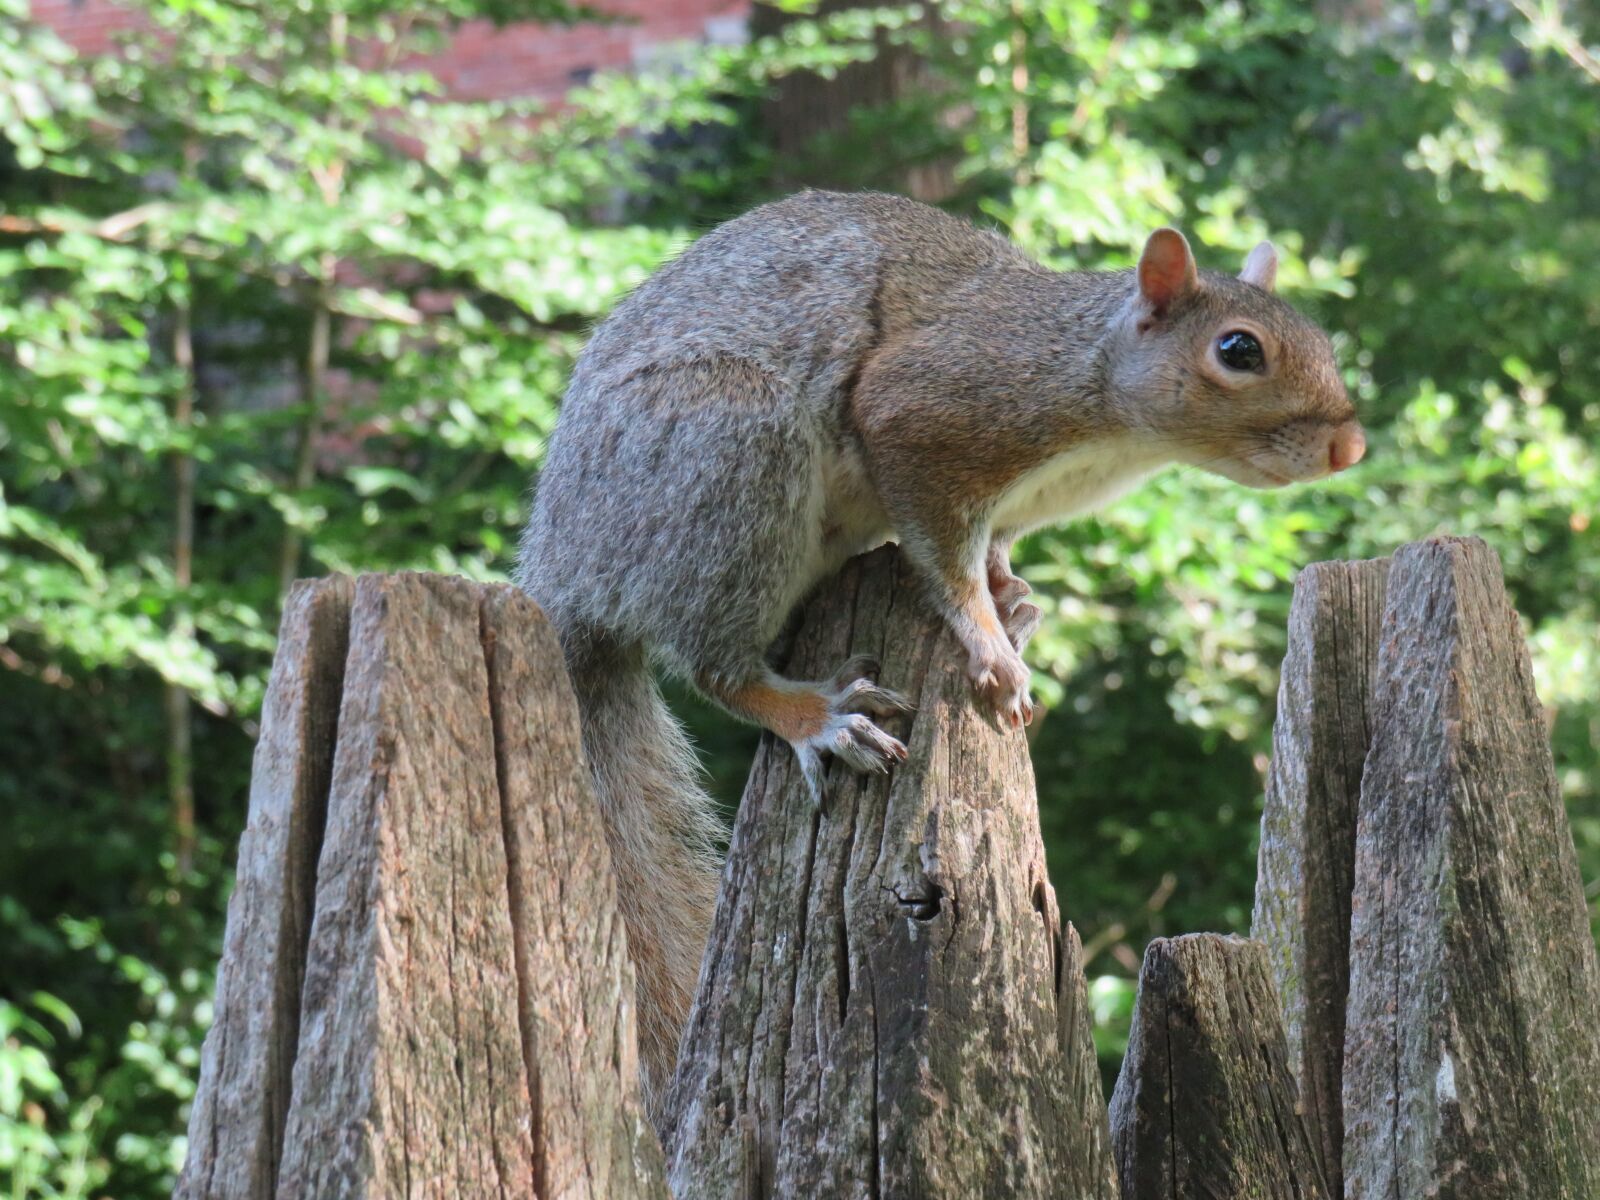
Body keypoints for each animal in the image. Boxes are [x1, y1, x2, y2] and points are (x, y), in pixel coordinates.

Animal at [512, 188, 1363, 1120]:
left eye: (1323, 339)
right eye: (1239, 350)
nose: (1350, 450)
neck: (1104, 407)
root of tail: (568, 560)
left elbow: (990, 555)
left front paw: (1013, 601)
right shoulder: (929, 411)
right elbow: (944, 562)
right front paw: (989, 644)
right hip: (729, 459)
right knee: (717, 664)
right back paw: (815, 717)